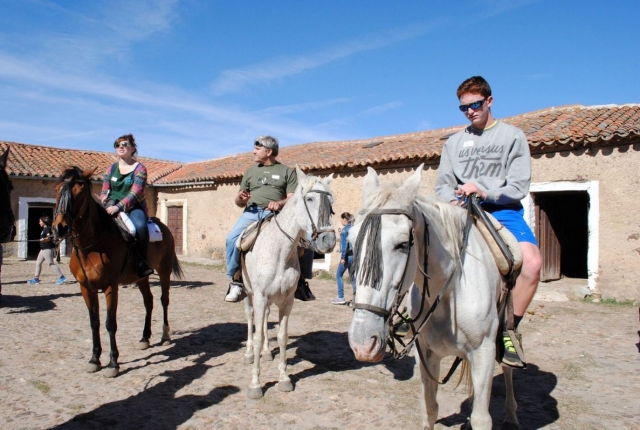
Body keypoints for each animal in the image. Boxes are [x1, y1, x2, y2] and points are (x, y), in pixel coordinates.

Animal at [52, 166, 184, 378]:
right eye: (57, 189)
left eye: (80, 191)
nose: (60, 228)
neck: (93, 245)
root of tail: (163, 226)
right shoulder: (86, 288)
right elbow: (94, 322)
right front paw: (94, 359)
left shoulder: (110, 287)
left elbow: (110, 323)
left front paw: (113, 363)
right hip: (142, 277)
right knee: (149, 301)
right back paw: (145, 338)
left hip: (164, 272)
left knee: (164, 300)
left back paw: (165, 335)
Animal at [241, 167, 336, 399]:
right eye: (309, 198)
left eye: (331, 202)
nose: (328, 241)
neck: (279, 252)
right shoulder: (259, 297)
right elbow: (257, 335)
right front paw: (255, 384)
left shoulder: (287, 301)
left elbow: (282, 337)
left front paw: (284, 379)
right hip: (247, 294)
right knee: (250, 319)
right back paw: (249, 353)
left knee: (264, 321)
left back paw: (267, 352)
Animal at [347, 165, 518, 430]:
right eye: (351, 242)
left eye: (403, 244)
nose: (363, 344)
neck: (448, 294)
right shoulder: (426, 354)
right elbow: (430, 409)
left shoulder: (484, 353)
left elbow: (482, 418)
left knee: (508, 367)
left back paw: (511, 414)